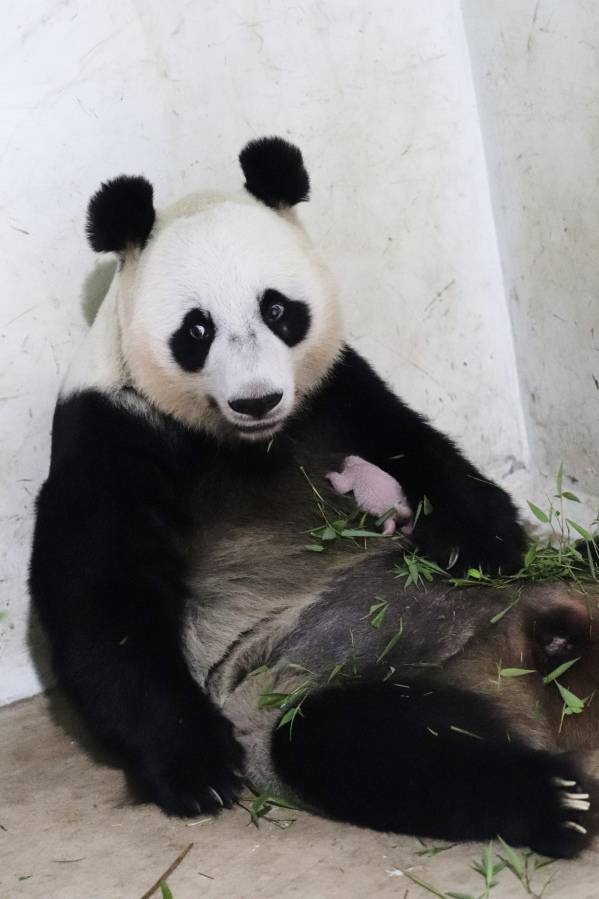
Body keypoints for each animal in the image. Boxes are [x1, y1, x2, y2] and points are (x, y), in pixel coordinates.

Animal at [30, 136, 596, 860]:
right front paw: (198, 768)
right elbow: (101, 601)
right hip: (312, 686)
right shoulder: (111, 432)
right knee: (370, 746)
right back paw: (553, 799)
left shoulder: (335, 392)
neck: (245, 444)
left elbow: (417, 448)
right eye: (196, 330)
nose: (257, 399)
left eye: (277, 309)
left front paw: (483, 542)